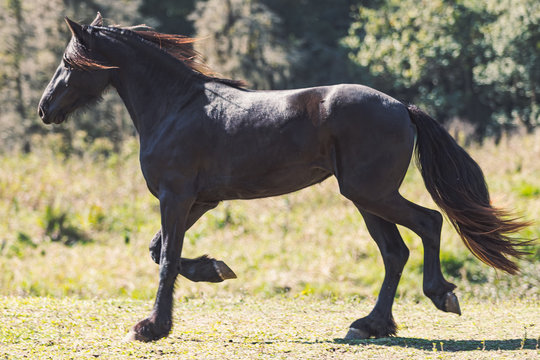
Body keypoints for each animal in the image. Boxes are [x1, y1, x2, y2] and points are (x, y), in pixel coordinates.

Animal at [39, 13, 532, 340]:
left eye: (69, 61)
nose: (45, 109)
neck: (174, 107)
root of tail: (402, 108)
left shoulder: (175, 197)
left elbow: (165, 259)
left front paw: (151, 327)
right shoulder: (200, 200)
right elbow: (160, 251)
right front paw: (216, 270)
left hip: (371, 193)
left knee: (428, 223)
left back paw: (438, 296)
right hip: (366, 199)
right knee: (395, 252)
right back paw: (371, 325)